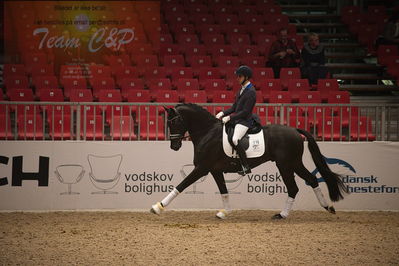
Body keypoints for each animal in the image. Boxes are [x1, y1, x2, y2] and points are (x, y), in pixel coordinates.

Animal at [152, 103, 348, 219]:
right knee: (312, 179)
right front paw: (225, 212)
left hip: (286, 165)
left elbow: (181, 185)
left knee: (294, 187)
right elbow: (223, 190)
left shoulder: (202, 168)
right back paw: (328, 207)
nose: (174, 146)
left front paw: (158, 206)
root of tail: (295, 130)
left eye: (174, 122)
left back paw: (282, 214)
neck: (208, 132)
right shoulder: (214, 170)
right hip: (294, 164)